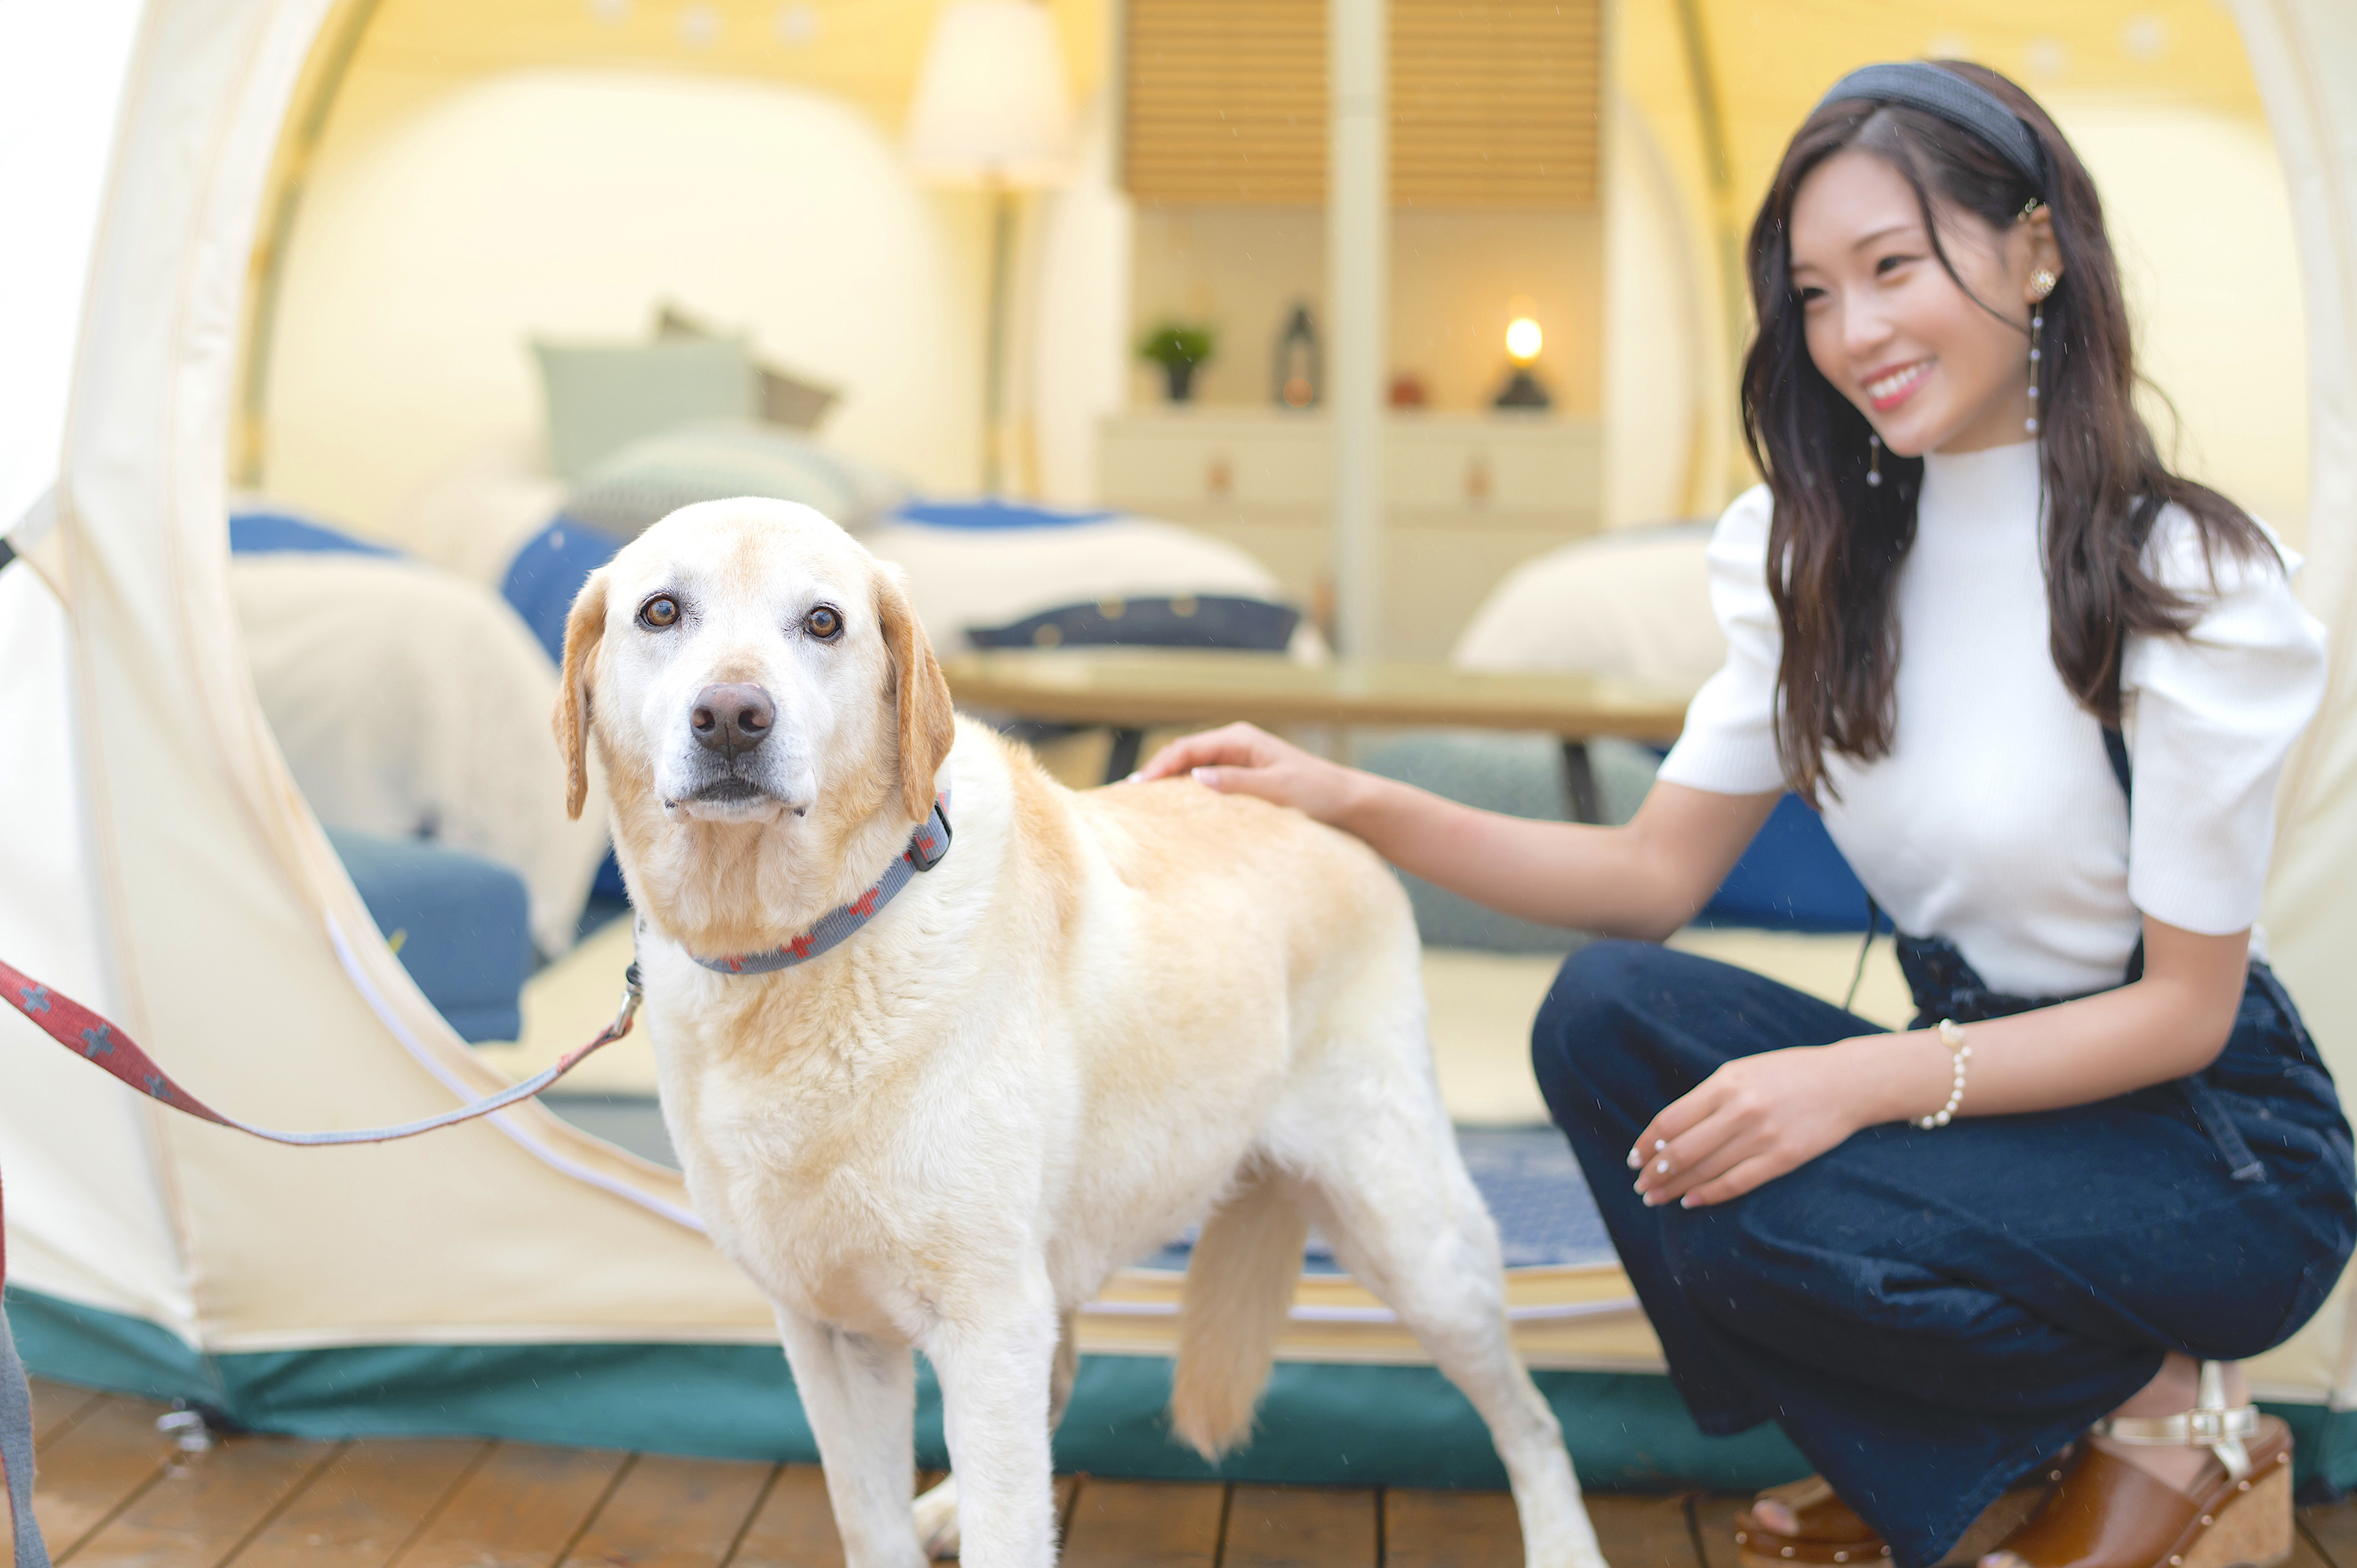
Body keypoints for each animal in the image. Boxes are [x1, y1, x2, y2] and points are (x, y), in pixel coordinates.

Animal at [552, 497, 1603, 1565]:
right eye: (661, 611)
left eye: (822, 623)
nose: (732, 716)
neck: (797, 951)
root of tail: (1328, 811)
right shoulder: (832, 1332)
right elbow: (873, 1521)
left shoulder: (988, 1320)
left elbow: (1011, 1526)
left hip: (1416, 1241)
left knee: (1533, 1419)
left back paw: (1565, 1540)